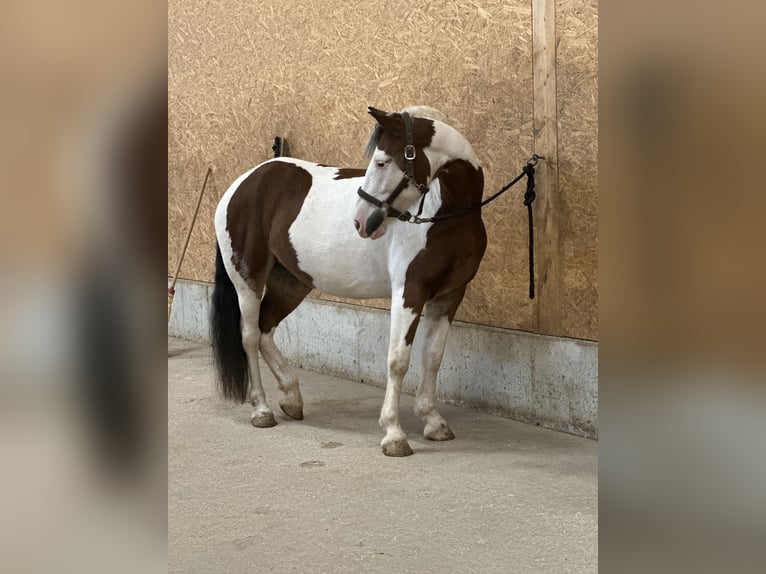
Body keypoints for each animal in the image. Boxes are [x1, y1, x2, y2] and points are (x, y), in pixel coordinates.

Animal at [211, 106, 487, 456]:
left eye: (381, 162)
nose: (361, 221)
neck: (446, 216)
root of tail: (243, 183)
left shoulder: (449, 296)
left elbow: (433, 358)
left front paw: (433, 423)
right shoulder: (409, 293)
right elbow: (398, 360)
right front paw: (394, 434)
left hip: (291, 283)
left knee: (264, 330)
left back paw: (291, 398)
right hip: (247, 278)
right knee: (248, 336)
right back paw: (261, 410)